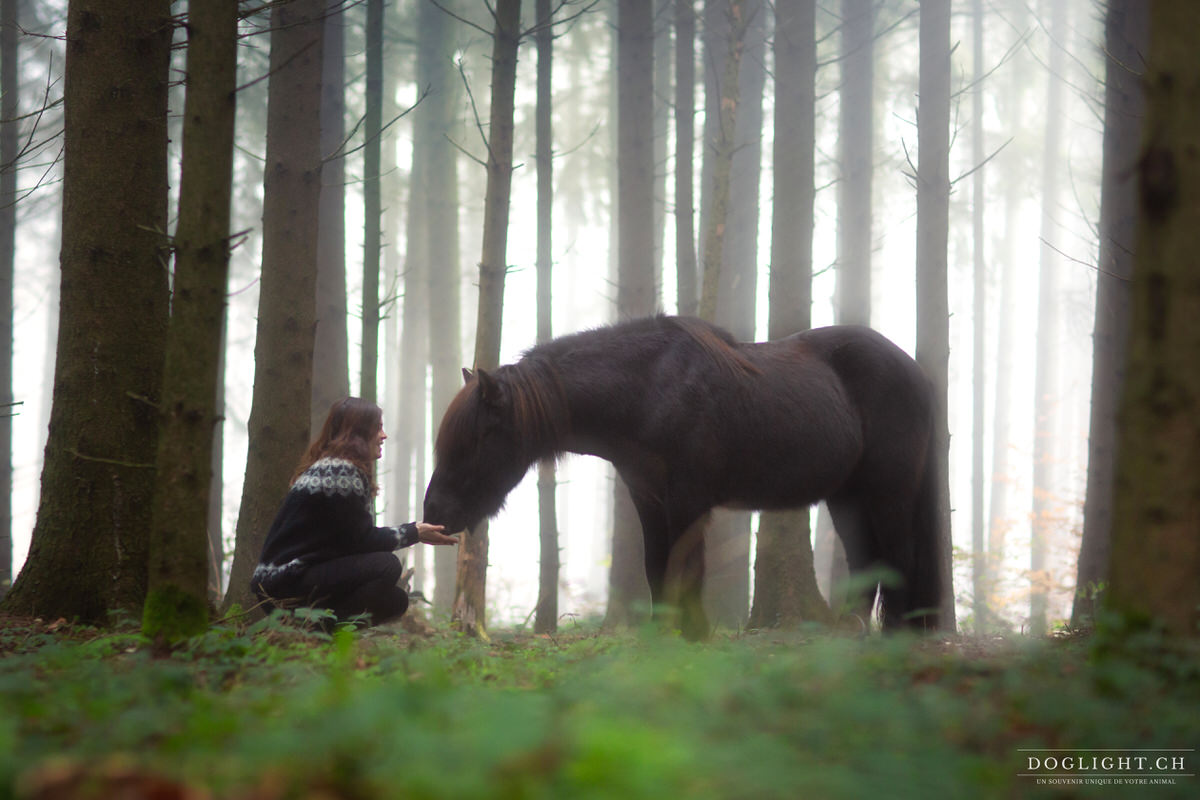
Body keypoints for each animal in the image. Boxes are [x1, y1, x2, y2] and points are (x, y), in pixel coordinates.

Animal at [424, 316, 945, 642]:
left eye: (478, 437)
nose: (434, 513)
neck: (649, 391)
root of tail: (917, 371)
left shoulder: (689, 502)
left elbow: (689, 570)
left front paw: (695, 635)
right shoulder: (649, 498)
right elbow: (657, 568)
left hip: (889, 492)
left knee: (900, 558)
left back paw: (894, 638)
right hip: (849, 497)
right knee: (867, 562)